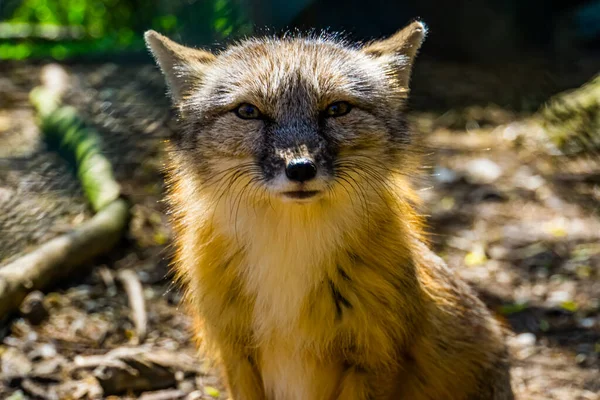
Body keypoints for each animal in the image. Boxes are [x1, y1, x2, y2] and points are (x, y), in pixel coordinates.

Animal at [143, 21, 512, 400]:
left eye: (336, 109)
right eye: (248, 111)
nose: (300, 169)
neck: (289, 249)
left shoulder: (375, 358)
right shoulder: (237, 356)